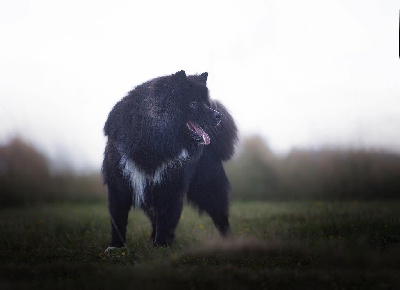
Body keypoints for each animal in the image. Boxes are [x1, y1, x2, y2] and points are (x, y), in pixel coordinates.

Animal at [101, 71, 238, 249]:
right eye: (193, 103)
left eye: (206, 103)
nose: (218, 115)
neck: (151, 145)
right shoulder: (120, 185)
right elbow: (118, 220)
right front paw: (115, 247)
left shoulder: (170, 187)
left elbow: (167, 219)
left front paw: (161, 246)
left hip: (208, 187)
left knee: (220, 216)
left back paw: (230, 241)